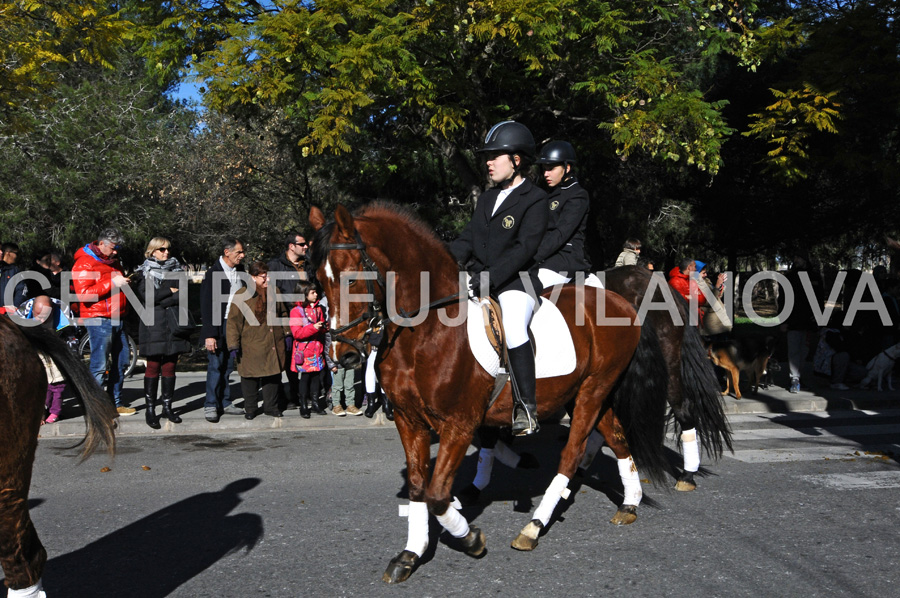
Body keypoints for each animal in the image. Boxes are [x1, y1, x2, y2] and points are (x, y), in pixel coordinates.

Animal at [310, 205, 668, 584]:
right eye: (319, 277)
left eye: (351, 278)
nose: (343, 354)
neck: (427, 333)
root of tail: (621, 302)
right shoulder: (410, 421)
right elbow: (420, 487)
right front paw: (410, 554)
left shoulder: (459, 424)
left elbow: (438, 494)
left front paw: (470, 538)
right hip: (586, 394)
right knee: (617, 438)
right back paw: (630, 502)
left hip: (591, 393)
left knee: (572, 454)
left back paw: (534, 526)